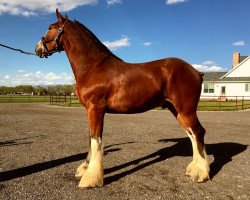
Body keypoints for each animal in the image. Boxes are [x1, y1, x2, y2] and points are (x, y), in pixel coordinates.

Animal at [35, 9, 210, 188]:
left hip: (186, 110)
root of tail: (196, 71)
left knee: (198, 132)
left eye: (50, 27)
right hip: (176, 110)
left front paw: (91, 178)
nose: (38, 48)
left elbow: (95, 139)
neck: (93, 67)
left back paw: (201, 173)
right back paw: (193, 168)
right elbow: (90, 138)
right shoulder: (91, 111)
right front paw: (84, 169)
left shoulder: (95, 109)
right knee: (191, 134)